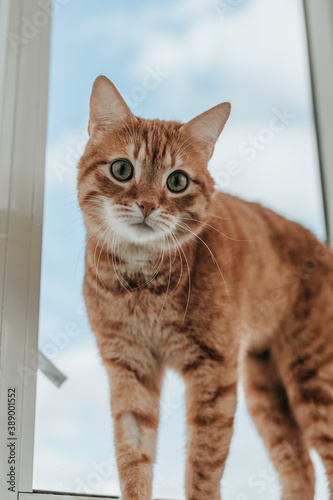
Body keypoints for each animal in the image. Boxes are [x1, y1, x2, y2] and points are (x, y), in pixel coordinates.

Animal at [77, 75, 332, 500]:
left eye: (177, 180)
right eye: (122, 169)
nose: (147, 205)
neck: (142, 284)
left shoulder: (214, 371)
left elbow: (203, 464)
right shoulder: (130, 368)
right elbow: (133, 457)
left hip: (313, 379)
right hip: (265, 391)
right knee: (301, 470)